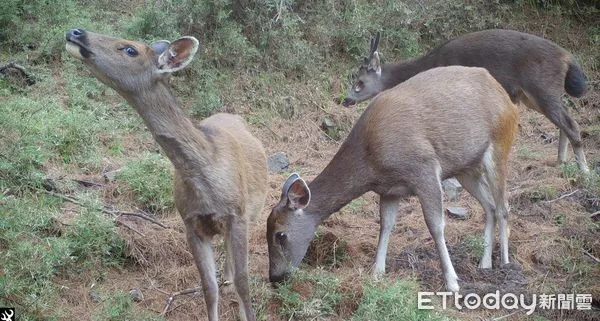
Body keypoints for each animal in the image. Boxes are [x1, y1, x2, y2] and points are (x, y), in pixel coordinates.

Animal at [63, 28, 268, 318]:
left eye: (130, 49)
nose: (76, 32)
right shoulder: (190, 222)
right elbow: (209, 287)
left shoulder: (237, 215)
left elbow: (244, 283)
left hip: (254, 211)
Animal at [268, 65, 520, 292]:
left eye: (280, 234)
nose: (275, 277)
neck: (371, 161)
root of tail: (507, 99)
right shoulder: (389, 189)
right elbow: (386, 224)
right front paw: (377, 272)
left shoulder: (424, 167)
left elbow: (436, 225)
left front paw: (452, 281)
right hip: (465, 169)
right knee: (490, 206)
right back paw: (485, 263)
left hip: (500, 144)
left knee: (503, 206)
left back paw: (505, 262)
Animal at [342, 29, 592, 174]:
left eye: (360, 82)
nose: (346, 100)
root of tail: (568, 59)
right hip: (536, 95)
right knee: (564, 122)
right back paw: (561, 161)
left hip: (542, 88)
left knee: (570, 123)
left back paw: (584, 170)